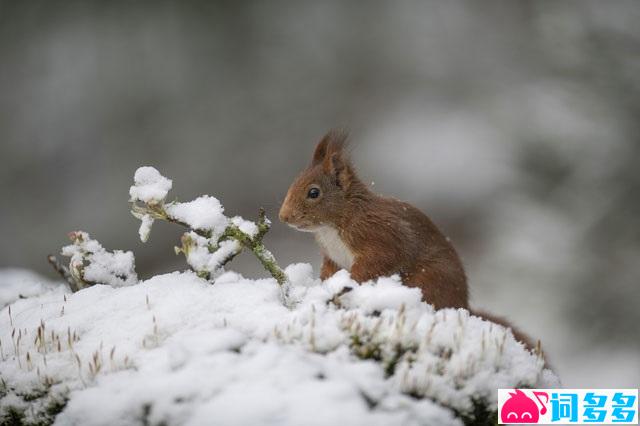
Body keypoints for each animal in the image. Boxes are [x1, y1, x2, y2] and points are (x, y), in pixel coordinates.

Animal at [282, 130, 536, 352]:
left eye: (314, 193)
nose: (283, 217)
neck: (334, 224)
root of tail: (464, 306)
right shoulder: (332, 256)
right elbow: (329, 271)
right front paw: (323, 286)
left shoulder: (382, 238)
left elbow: (375, 264)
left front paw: (350, 284)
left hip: (430, 279)